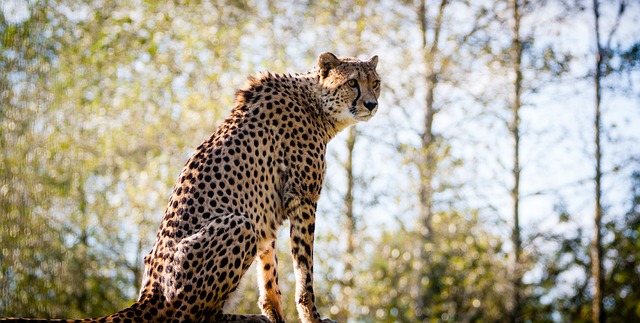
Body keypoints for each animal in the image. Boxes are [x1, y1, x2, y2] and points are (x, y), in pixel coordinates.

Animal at [0, 53, 380, 323]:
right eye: (352, 83)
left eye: (375, 82)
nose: (372, 104)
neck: (315, 103)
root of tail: (149, 294)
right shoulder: (301, 199)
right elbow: (304, 270)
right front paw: (311, 316)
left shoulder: (266, 208)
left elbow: (269, 270)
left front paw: (275, 314)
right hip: (235, 227)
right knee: (189, 317)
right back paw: (238, 317)